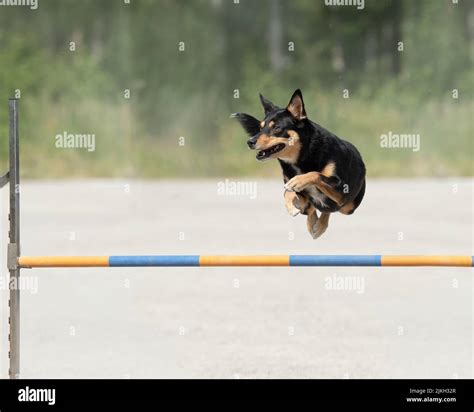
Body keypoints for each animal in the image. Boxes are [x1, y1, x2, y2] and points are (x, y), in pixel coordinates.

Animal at [233, 89, 366, 238]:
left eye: (277, 127)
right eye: (261, 128)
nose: (250, 142)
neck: (301, 158)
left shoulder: (341, 190)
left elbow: (315, 174)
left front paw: (298, 181)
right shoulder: (299, 194)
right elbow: (287, 192)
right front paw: (291, 205)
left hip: (348, 206)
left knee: (329, 209)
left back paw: (320, 225)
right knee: (313, 209)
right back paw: (314, 223)